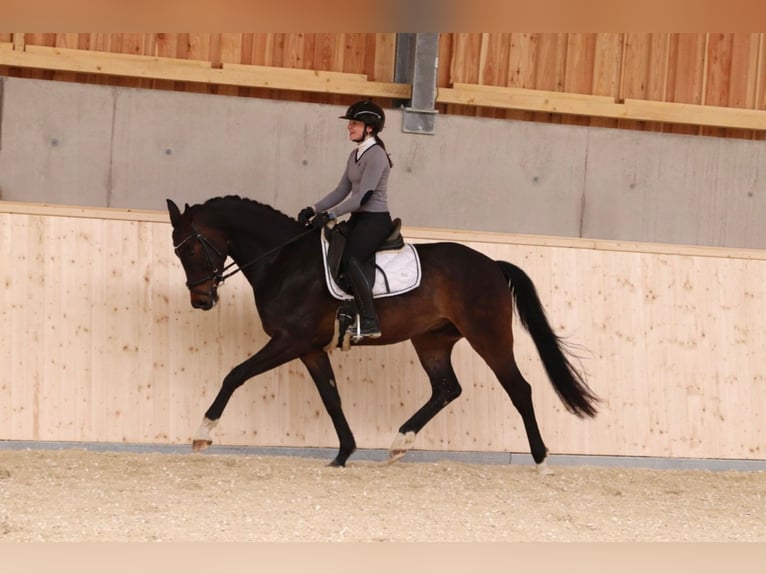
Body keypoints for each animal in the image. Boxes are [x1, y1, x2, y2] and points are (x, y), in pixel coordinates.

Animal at [166, 195, 599, 474]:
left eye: (190, 250)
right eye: (177, 252)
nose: (201, 301)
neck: (284, 261)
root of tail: (492, 263)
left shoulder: (290, 341)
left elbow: (235, 374)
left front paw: (203, 434)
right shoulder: (309, 348)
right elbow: (331, 397)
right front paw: (343, 453)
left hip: (488, 336)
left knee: (519, 389)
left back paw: (541, 461)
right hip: (431, 340)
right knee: (446, 389)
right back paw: (399, 444)